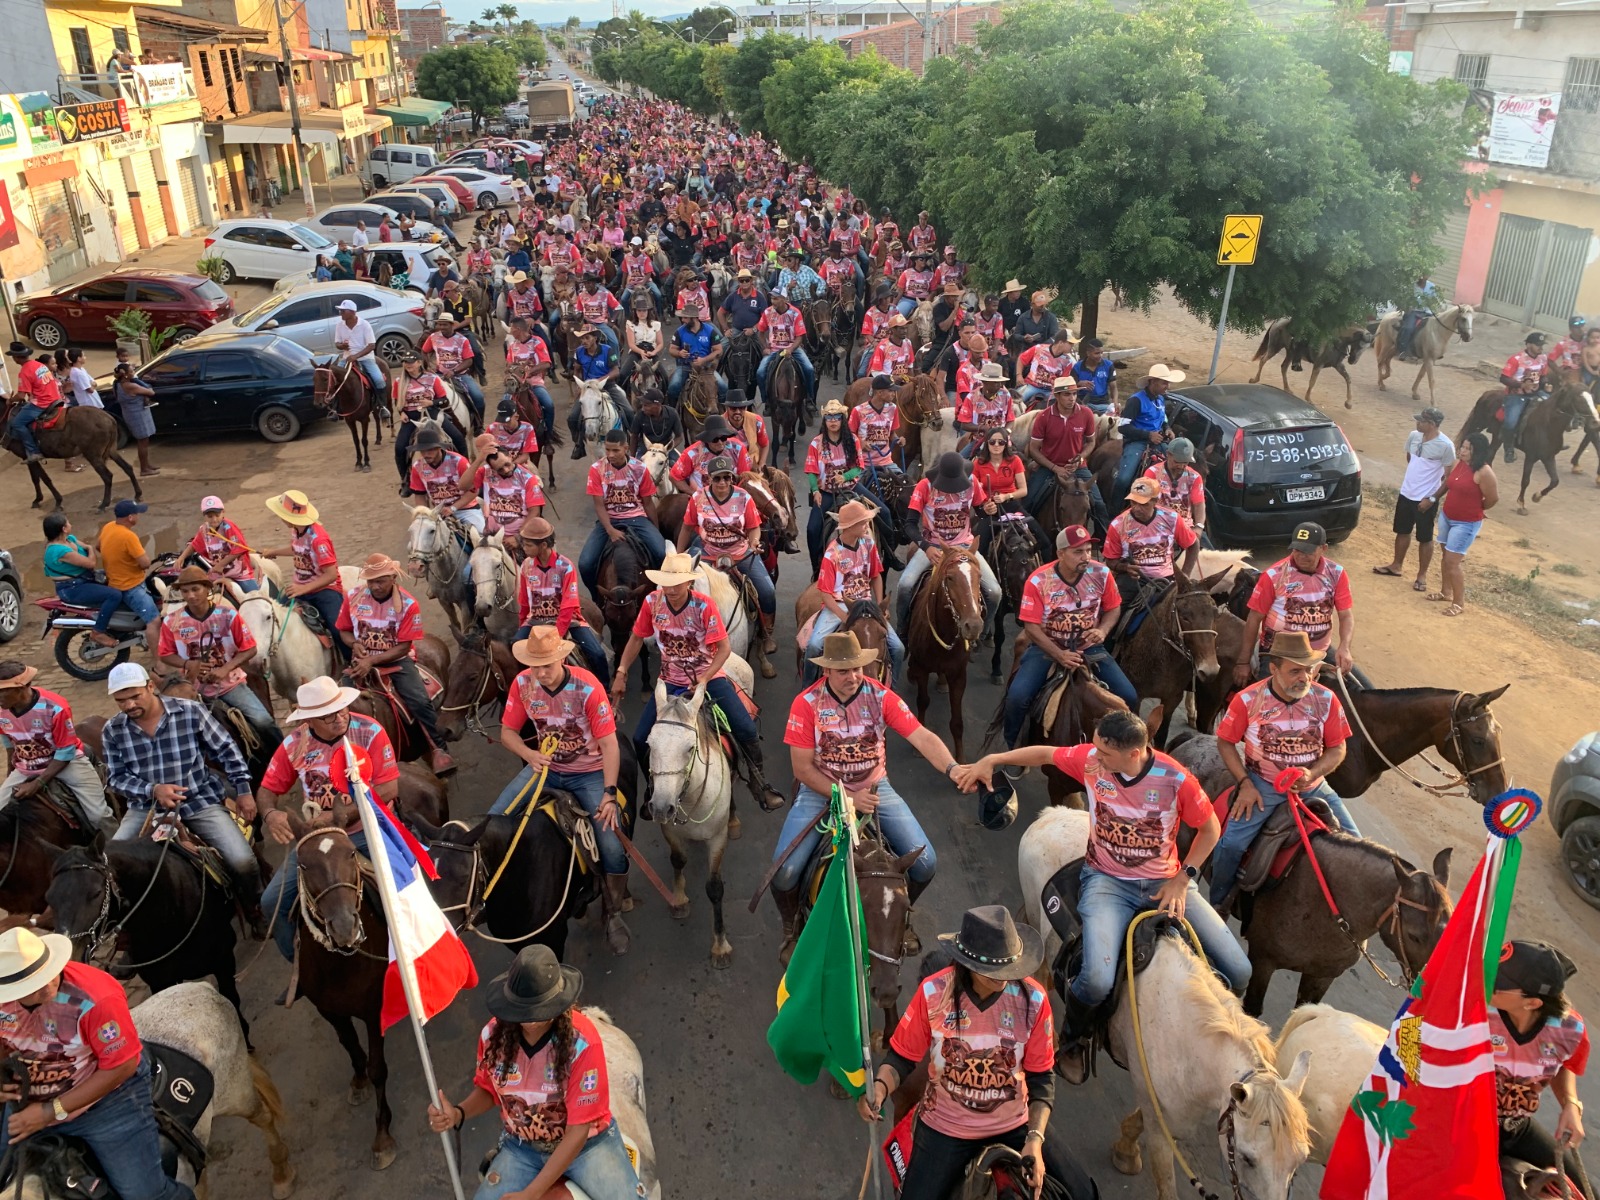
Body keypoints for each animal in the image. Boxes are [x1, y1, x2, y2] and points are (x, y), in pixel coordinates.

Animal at [0, 406, 142, 515]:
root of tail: (109, 419)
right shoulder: (29, 458)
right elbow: (38, 478)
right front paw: (40, 500)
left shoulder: (28, 456)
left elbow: (41, 479)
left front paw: (55, 501)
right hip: (111, 450)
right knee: (127, 467)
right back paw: (137, 494)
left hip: (92, 454)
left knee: (107, 476)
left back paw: (103, 505)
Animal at [649, 681, 736, 972]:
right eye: (649, 745)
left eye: (689, 747)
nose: (661, 807)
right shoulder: (670, 831)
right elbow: (678, 860)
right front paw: (678, 898)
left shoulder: (718, 838)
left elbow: (715, 888)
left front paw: (720, 946)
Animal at [908, 547, 979, 761]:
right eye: (950, 578)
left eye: (979, 577)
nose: (973, 626)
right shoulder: (922, 668)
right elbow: (923, 701)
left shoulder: (958, 675)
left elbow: (957, 723)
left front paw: (961, 760)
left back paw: (940, 682)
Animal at [1017, 809, 1305, 1200]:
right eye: (1247, 1158)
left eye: (1297, 1162)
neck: (1192, 1044)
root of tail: (1055, 814)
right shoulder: (1161, 1122)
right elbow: (1165, 1178)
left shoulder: (1170, 1109)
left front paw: (1125, 1147)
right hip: (1039, 920)